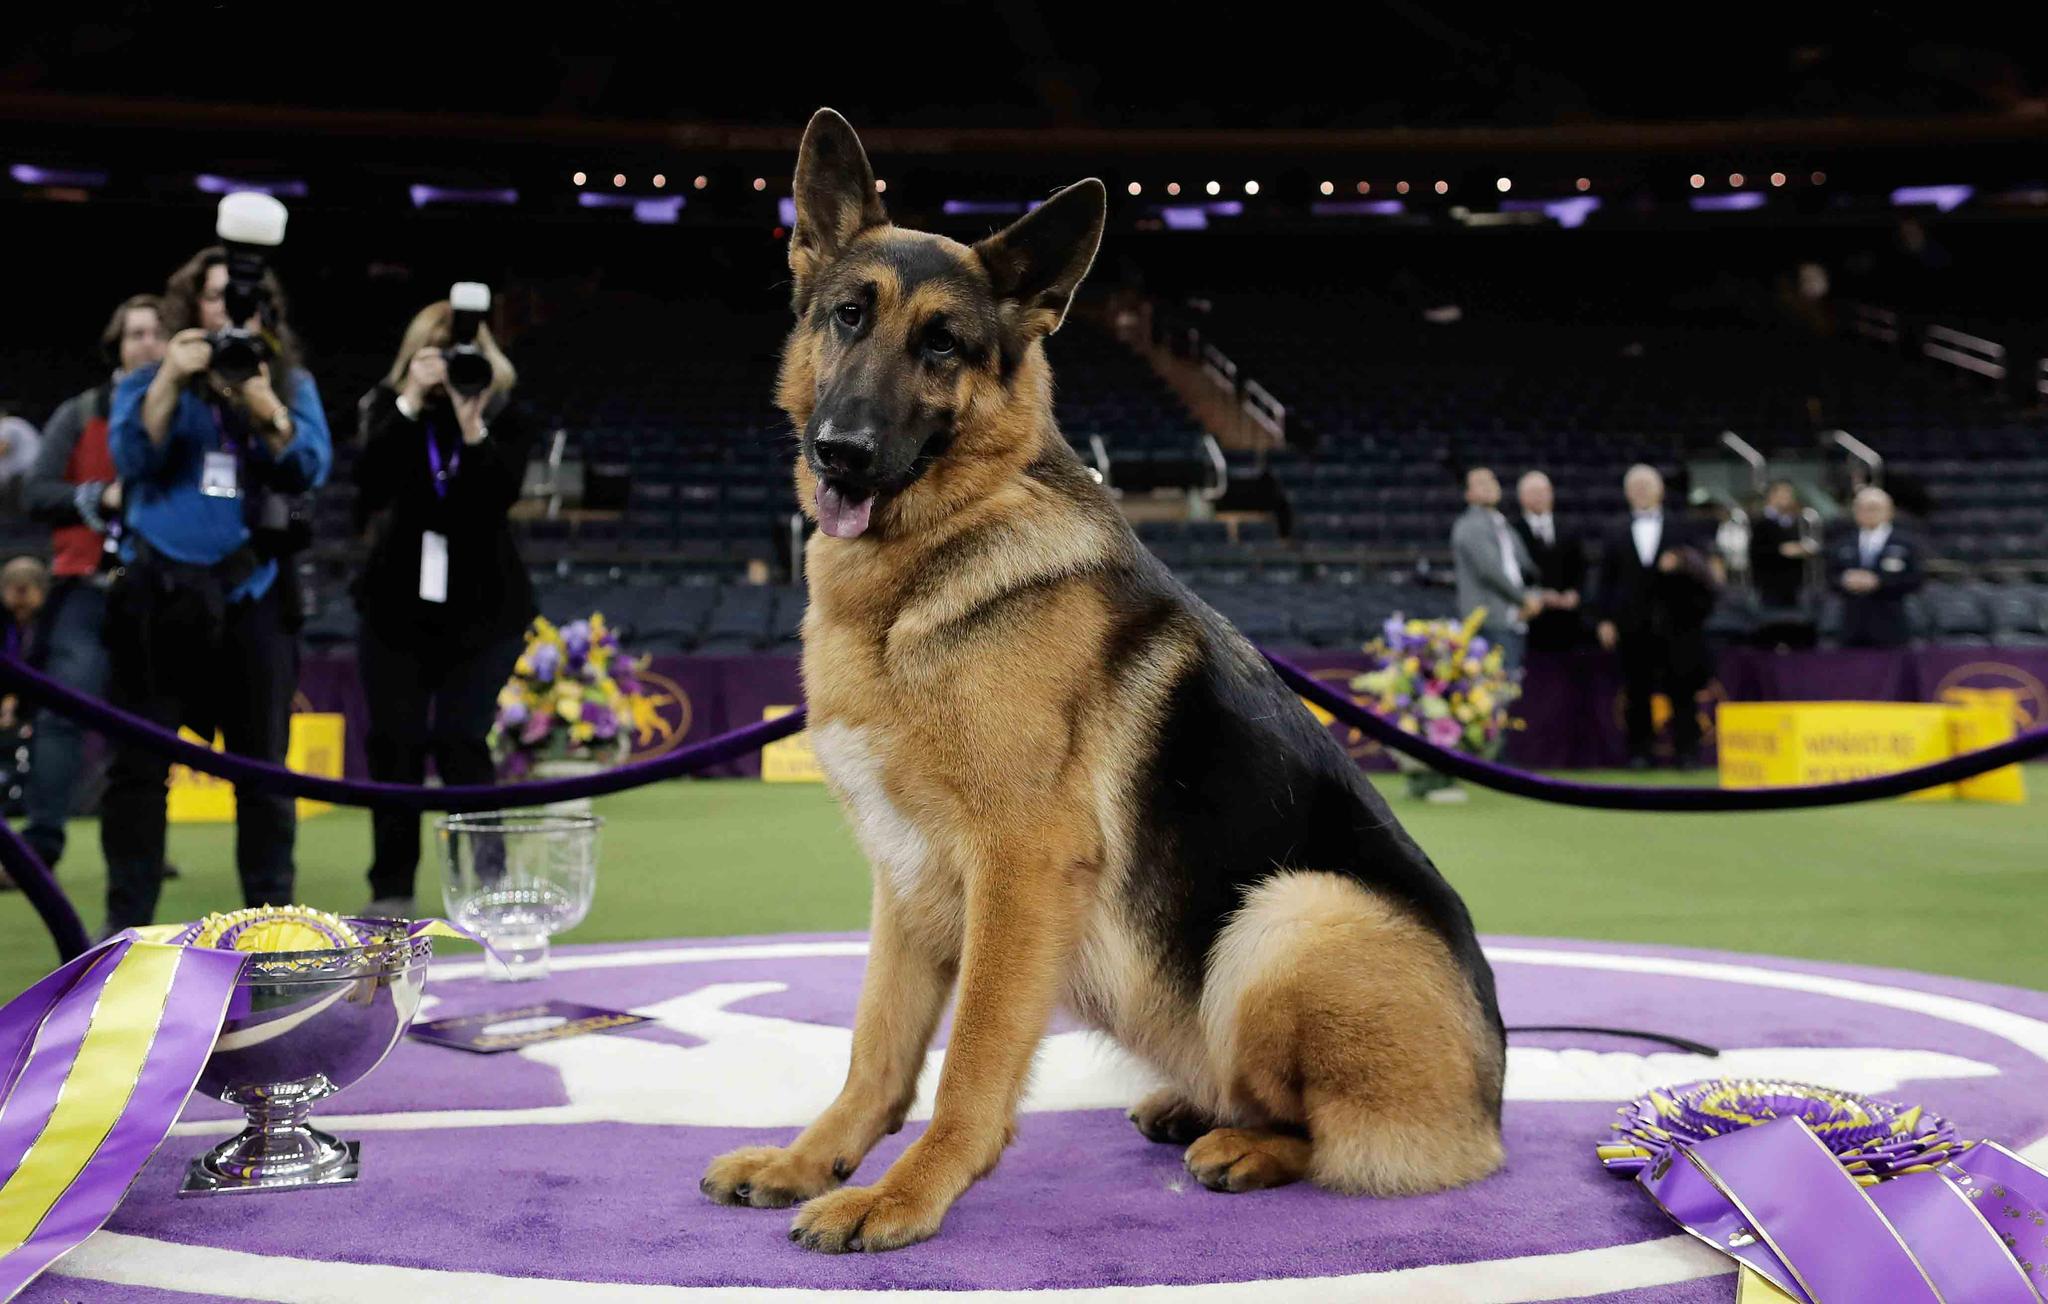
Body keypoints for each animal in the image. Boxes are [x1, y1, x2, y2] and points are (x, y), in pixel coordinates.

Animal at [704, 109, 1507, 1252]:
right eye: (848, 316)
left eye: (941, 344)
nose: (840, 454)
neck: (938, 554)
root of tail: (1490, 1101)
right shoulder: (904, 880)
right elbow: (877, 1046)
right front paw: (813, 1160)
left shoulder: (1020, 866)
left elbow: (972, 1059)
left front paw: (905, 1193)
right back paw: (1195, 1108)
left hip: (1288, 915)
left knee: (1327, 1131)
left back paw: (1245, 1144)